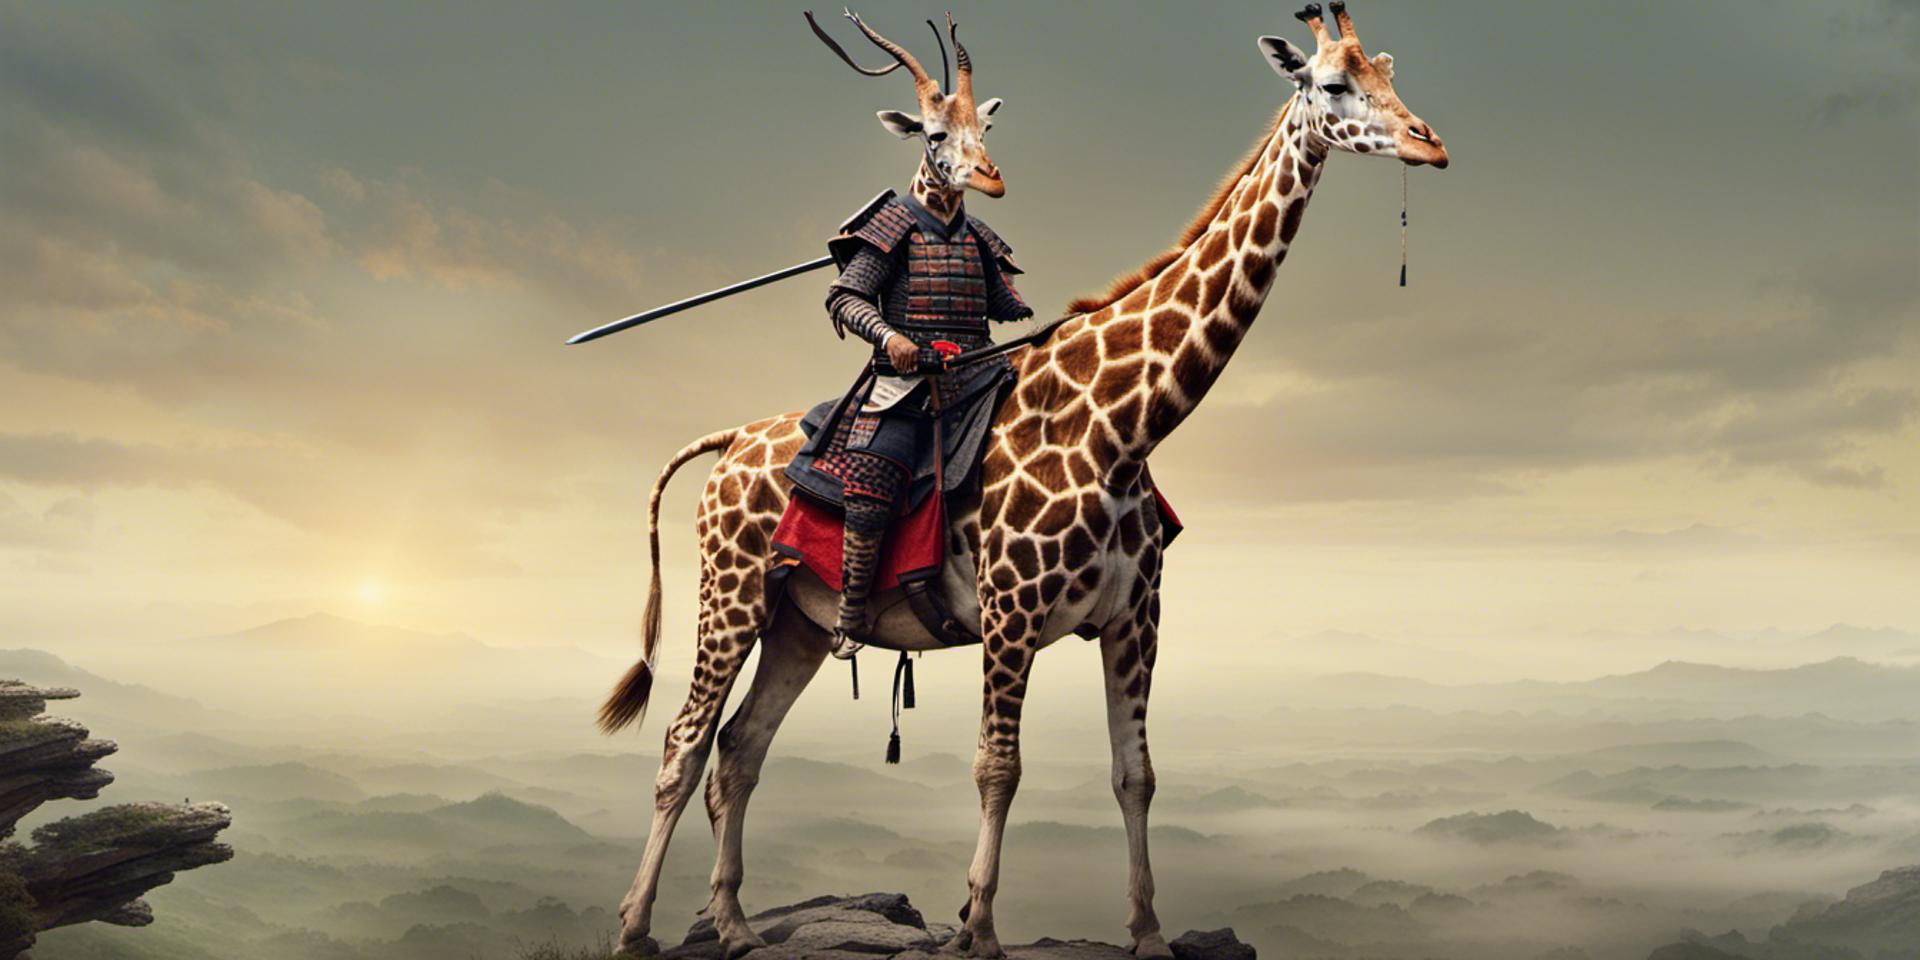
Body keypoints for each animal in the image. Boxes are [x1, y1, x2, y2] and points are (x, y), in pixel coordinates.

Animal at [599, 5, 1447, 958]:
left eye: (1388, 73)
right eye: (1332, 84)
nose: (1431, 142)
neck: (1123, 424)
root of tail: (729, 442)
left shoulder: (1136, 621)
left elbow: (1136, 774)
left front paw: (1148, 932)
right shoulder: (1010, 617)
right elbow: (997, 767)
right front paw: (978, 929)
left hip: (800, 623)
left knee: (742, 749)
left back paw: (738, 925)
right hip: (732, 597)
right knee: (684, 743)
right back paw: (634, 926)